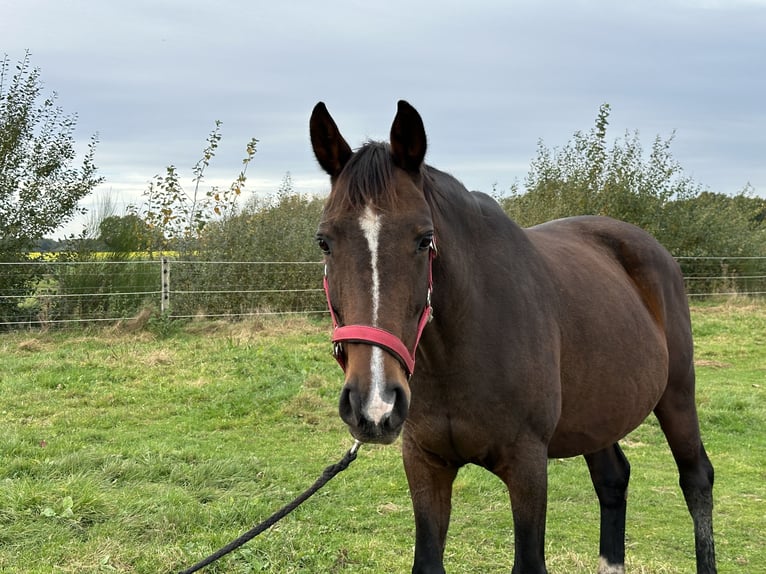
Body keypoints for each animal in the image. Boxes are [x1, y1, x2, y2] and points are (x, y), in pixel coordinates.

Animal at [308, 101, 716, 572]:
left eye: (424, 239)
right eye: (324, 241)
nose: (374, 405)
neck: (459, 350)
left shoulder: (527, 467)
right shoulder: (425, 463)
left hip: (677, 394)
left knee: (696, 478)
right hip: (598, 413)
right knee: (613, 480)